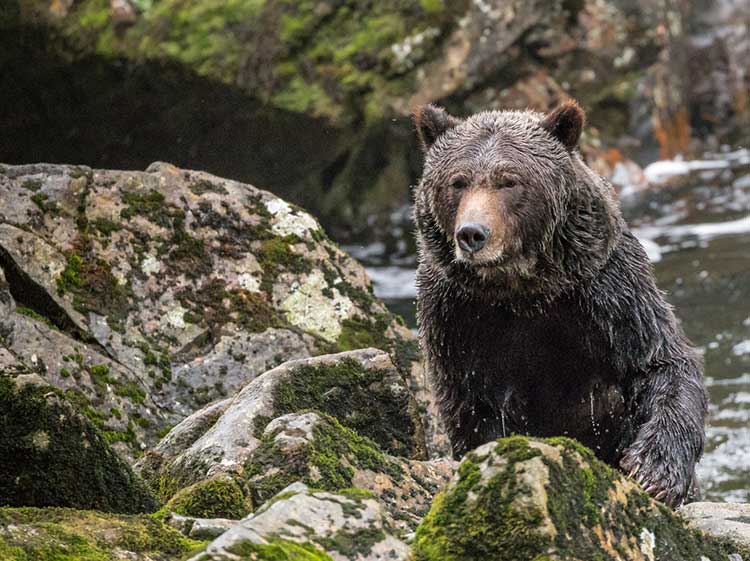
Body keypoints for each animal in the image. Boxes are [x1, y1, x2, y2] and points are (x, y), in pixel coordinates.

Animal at [414, 100, 708, 508]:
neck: (523, 291)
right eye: (457, 182)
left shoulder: (610, 292)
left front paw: (654, 470)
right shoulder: (455, 317)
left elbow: (660, 363)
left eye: (509, 180)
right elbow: (470, 405)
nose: (472, 233)